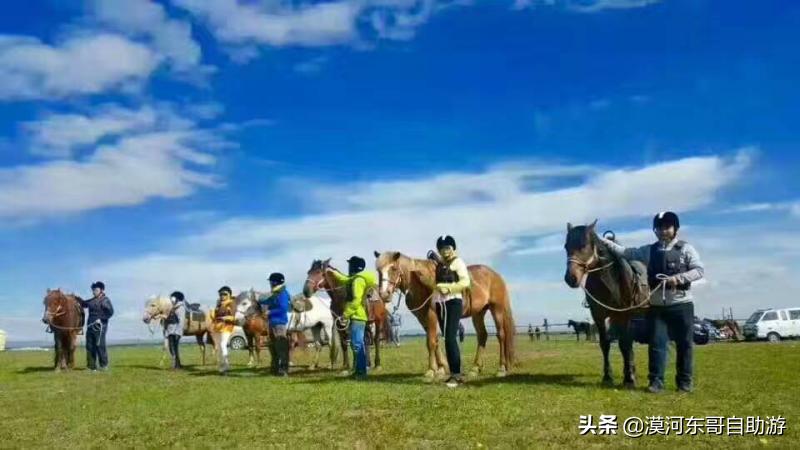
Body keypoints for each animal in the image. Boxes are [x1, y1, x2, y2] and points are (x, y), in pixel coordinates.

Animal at [374, 251, 516, 379]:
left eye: (393, 268)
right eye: (378, 271)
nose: (384, 294)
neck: (421, 283)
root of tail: (496, 275)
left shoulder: (431, 315)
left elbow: (431, 342)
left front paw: (431, 370)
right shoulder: (422, 318)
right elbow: (435, 340)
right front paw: (442, 368)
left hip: (497, 309)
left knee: (501, 335)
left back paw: (501, 368)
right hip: (478, 312)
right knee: (482, 335)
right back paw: (475, 368)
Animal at [563, 220, 649, 389]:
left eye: (584, 245)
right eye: (566, 246)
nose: (571, 278)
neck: (609, 282)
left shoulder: (624, 315)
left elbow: (624, 344)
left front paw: (629, 379)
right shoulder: (598, 316)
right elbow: (605, 344)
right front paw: (608, 376)